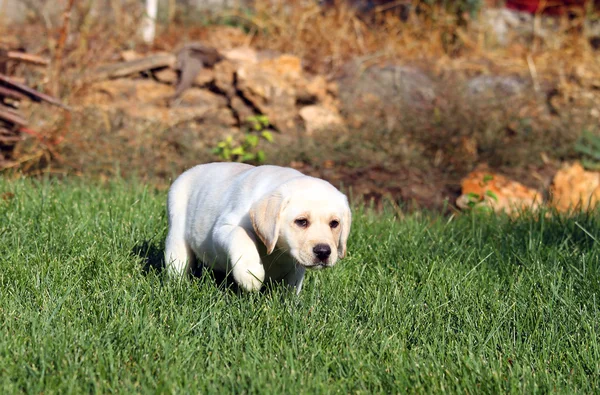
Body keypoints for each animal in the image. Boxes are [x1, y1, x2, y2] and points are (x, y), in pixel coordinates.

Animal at [164, 162, 352, 294]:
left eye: (334, 223)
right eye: (301, 221)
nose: (323, 252)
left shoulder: (295, 267)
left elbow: (291, 290)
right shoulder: (223, 228)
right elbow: (241, 235)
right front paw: (251, 275)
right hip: (177, 232)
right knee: (178, 261)